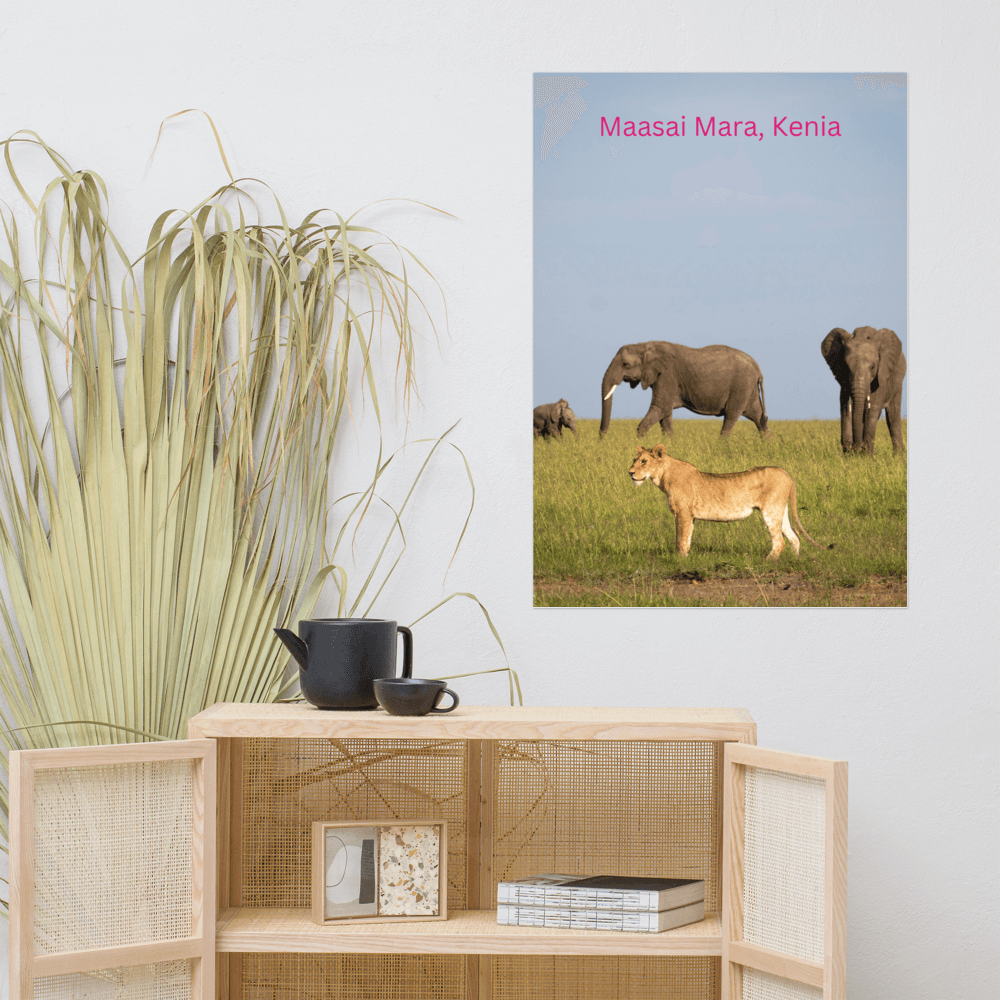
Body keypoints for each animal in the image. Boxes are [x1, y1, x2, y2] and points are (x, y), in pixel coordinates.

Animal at [596, 342, 768, 436]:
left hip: (741, 386)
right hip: (749, 389)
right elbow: (665, 416)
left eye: (625, 364)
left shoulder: (667, 375)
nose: (602, 438)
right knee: (758, 416)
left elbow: (660, 408)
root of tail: (758, 367)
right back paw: (768, 445)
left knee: (731, 417)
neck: (645, 345)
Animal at [820, 326, 908, 456]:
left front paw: (866, 457)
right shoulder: (844, 380)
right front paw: (849, 456)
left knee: (892, 417)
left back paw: (898, 456)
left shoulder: (881, 376)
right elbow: (846, 411)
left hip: (897, 382)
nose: (854, 449)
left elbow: (872, 411)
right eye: (846, 367)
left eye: (873, 367)